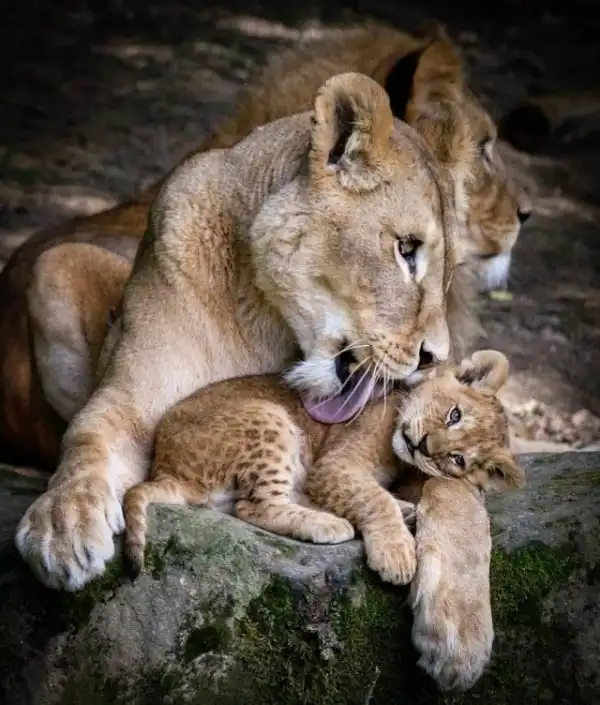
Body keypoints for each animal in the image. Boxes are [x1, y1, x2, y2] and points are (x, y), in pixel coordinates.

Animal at [14, 72, 488, 691]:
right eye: (405, 250)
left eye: (450, 272)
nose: (435, 358)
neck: (274, 326)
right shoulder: (135, 405)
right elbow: (88, 439)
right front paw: (62, 524)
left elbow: (458, 492)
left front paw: (458, 633)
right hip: (56, 265)